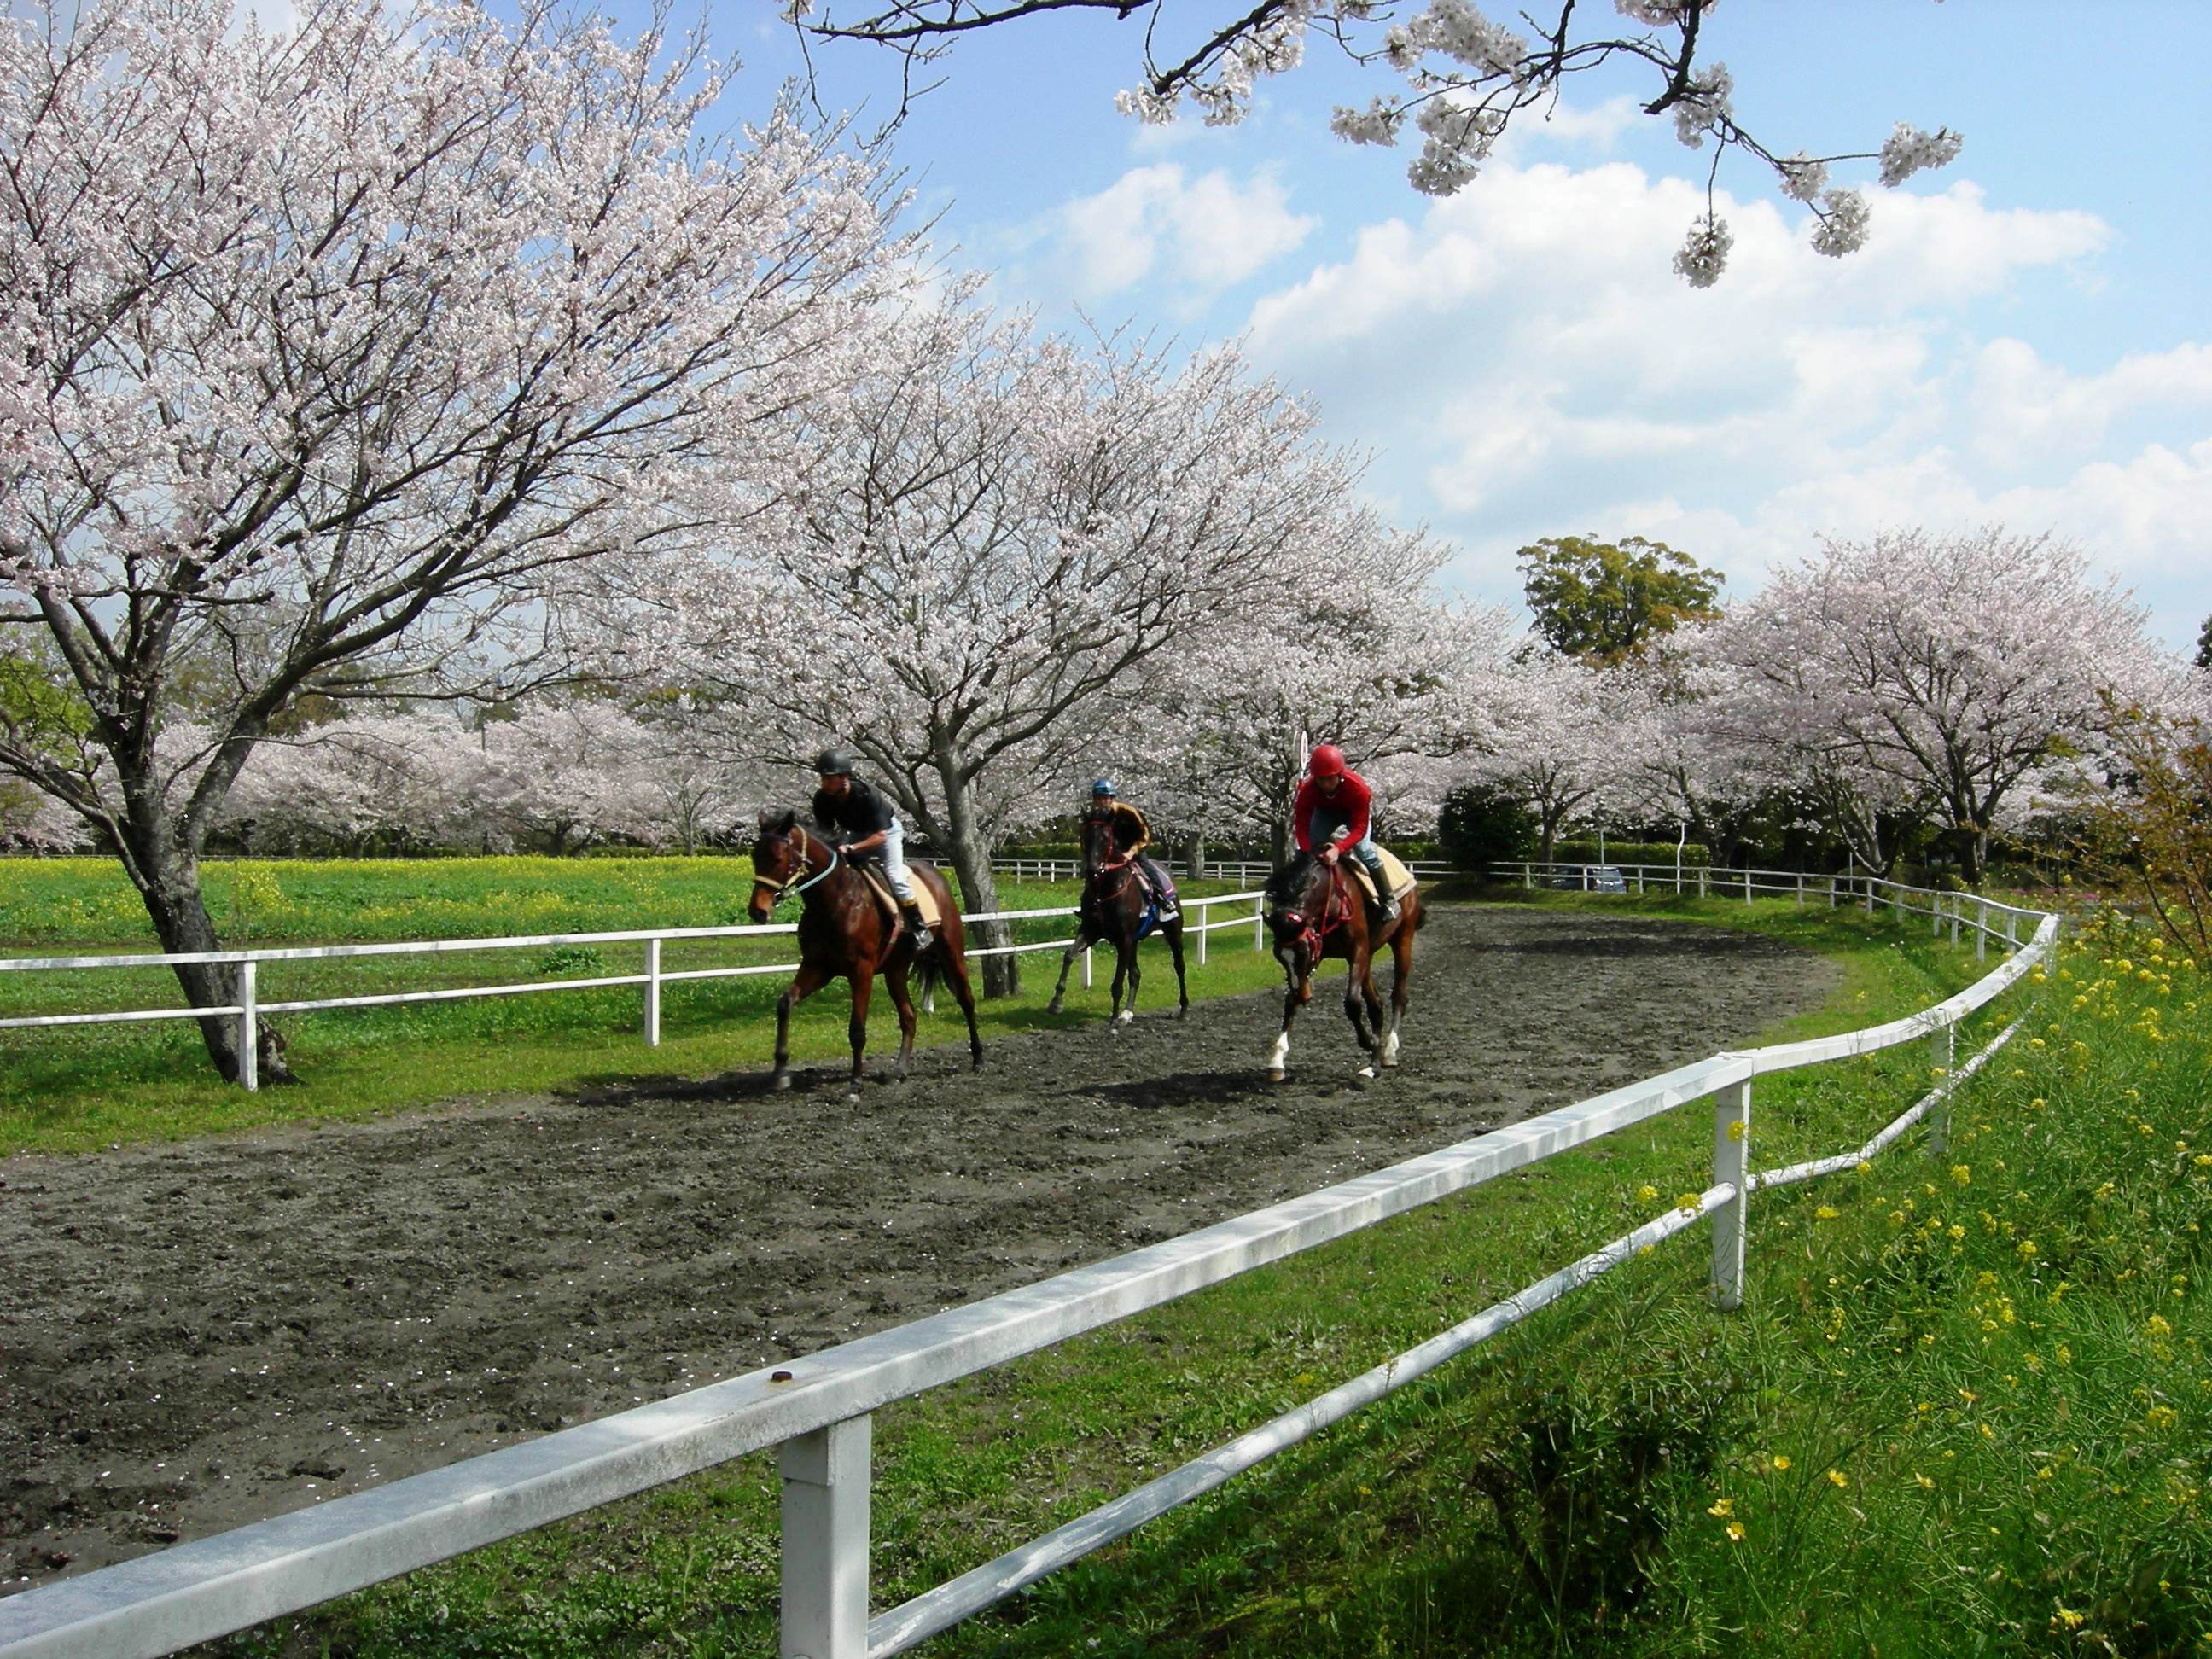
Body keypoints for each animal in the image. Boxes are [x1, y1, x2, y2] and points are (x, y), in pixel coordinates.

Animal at [747, 809, 983, 1089]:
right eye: (754, 856)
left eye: (777, 857)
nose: (757, 911)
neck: (836, 901)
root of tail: (936, 876)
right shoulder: (818, 966)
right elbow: (785, 1004)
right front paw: (780, 1070)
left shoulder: (861, 970)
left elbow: (857, 1029)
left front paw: (856, 1079)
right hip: (895, 970)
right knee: (909, 1017)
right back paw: (900, 1069)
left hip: (952, 952)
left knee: (966, 1001)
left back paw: (978, 1058)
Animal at [1045, 816, 1189, 1025]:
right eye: (1085, 836)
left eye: (1106, 838)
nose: (1092, 869)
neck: (1106, 891)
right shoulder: (1092, 931)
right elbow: (1069, 955)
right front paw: (1056, 1001)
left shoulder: (1124, 940)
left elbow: (1117, 983)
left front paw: (1113, 1018)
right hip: (1135, 941)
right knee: (1136, 974)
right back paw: (1127, 1012)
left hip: (1172, 930)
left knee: (1179, 966)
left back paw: (1184, 1008)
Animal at [1260, 849, 1424, 1082]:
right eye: (1280, 957)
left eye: (1303, 953)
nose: (1304, 995)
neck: (1330, 897)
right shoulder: (1321, 948)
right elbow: (1290, 1001)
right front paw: (1276, 1060)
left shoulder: (1356, 950)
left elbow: (1352, 1003)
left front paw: (1369, 1042)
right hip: (1369, 956)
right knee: (1376, 1005)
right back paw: (1372, 1064)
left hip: (1403, 939)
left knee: (1399, 996)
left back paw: (1389, 1050)